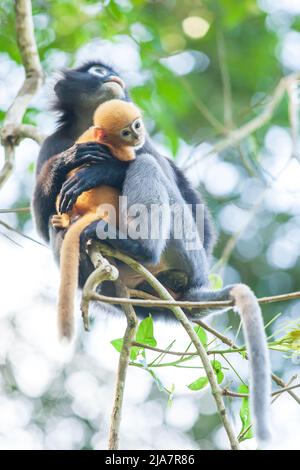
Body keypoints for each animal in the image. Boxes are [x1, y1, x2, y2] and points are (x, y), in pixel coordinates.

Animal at [52, 100, 146, 342]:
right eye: (125, 133)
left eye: (137, 125)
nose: (137, 136)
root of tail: (94, 210)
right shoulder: (122, 150)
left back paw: (63, 220)